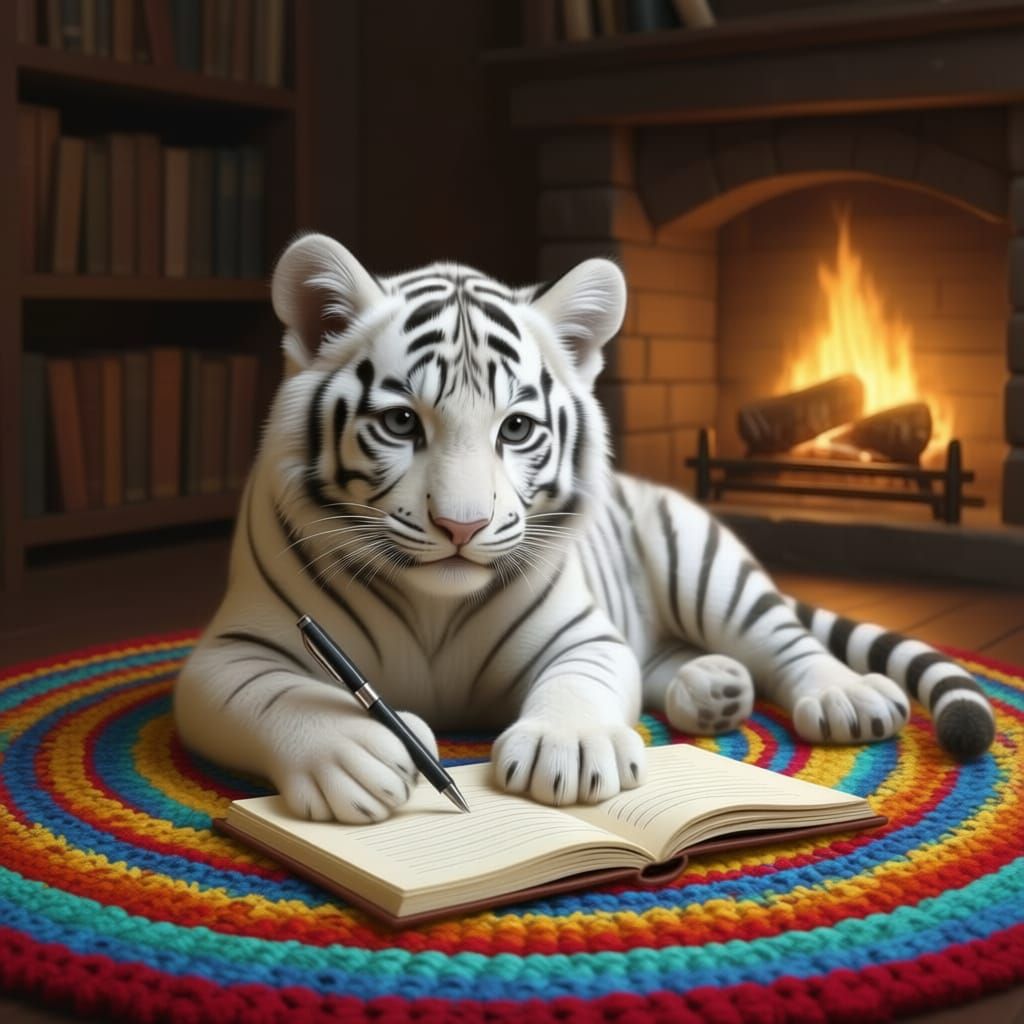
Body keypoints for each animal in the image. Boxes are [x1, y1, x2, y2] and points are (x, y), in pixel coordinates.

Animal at [173, 232, 996, 824]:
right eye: (403, 422)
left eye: (515, 427)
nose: (462, 526)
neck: (432, 608)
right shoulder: (231, 651)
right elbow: (275, 695)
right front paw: (357, 749)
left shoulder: (582, 633)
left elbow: (588, 677)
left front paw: (564, 748)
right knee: (669, 657)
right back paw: (714, 688)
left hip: (707, 570)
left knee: (785, 641)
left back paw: (841, 697)